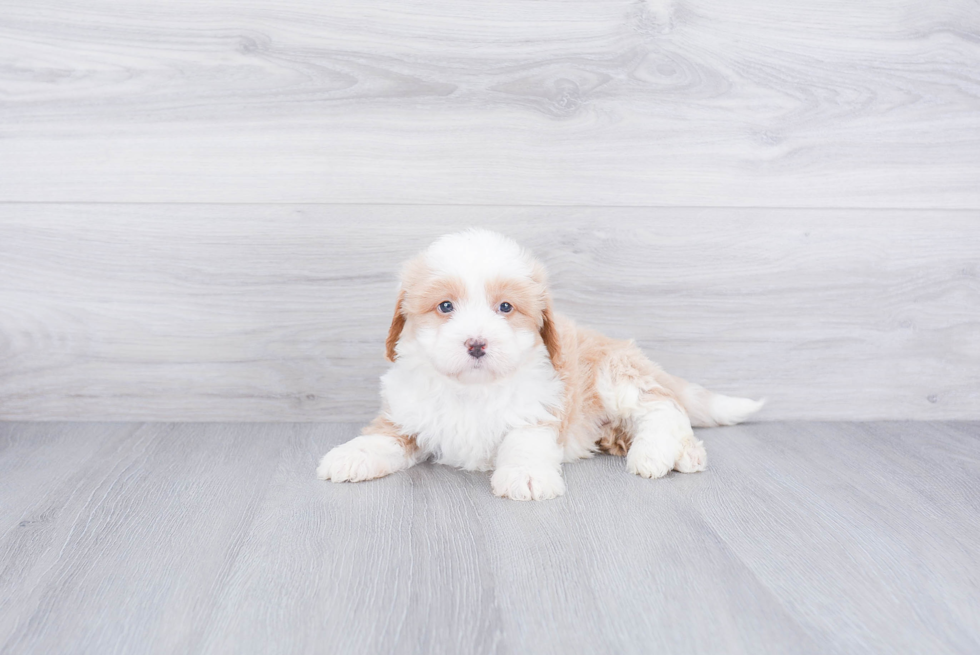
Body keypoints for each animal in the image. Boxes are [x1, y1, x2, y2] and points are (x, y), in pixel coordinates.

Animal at [318, 231, 760, 502]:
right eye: (445, 306)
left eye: (505, 307)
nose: (476, 344)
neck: (472, 389)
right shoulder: (406, 413)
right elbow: (382, 437)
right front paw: (350, 456)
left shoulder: (537, 411)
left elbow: (524, 443)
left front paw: (525, 476)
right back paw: (683, 453)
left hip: (615, 377)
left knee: (664, 407)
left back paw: (657, 454)